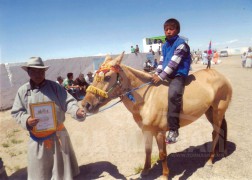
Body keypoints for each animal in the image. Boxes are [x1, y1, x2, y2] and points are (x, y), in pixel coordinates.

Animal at [80, 52, 232, 179]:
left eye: (107, 77)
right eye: (93, 77)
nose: (85, 105)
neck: (147, 98)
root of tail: (219, 75)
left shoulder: (160, 132)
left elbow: (162, 154)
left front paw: (165, 175)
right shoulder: (146, 130)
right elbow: (147, 150)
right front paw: (145, 170)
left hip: (218, 112)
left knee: (215, 133)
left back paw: (210, 160)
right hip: (210, 112)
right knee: (219, 131)